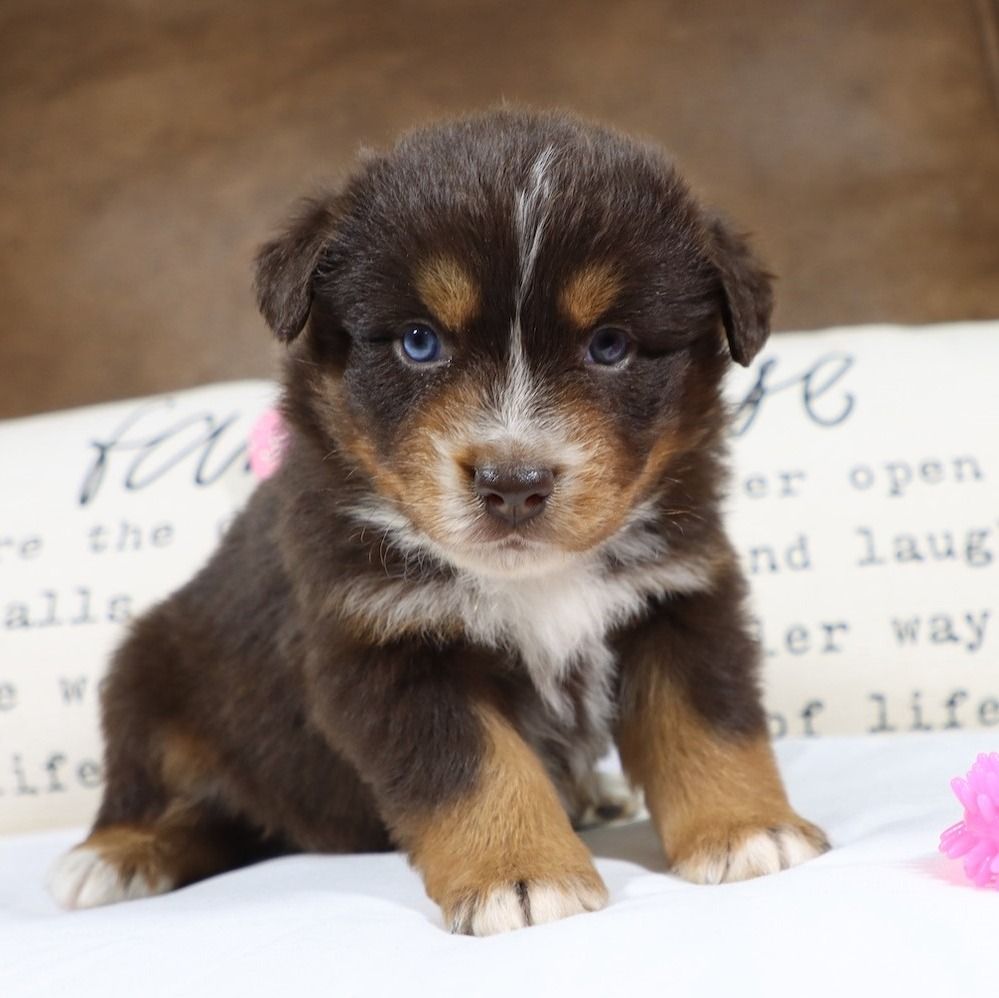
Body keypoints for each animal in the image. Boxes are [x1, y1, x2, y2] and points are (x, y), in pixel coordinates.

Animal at [47, 111, 828, 936]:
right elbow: (476, 771)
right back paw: (114, 857)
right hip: (147, 671)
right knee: (166, 795)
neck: (533, 580)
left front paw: (746, 829)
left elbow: (706, 723)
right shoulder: (388, 642)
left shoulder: (676, 595)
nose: (513, 484)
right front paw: (521, 876)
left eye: (609, 345)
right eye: (420, 341)